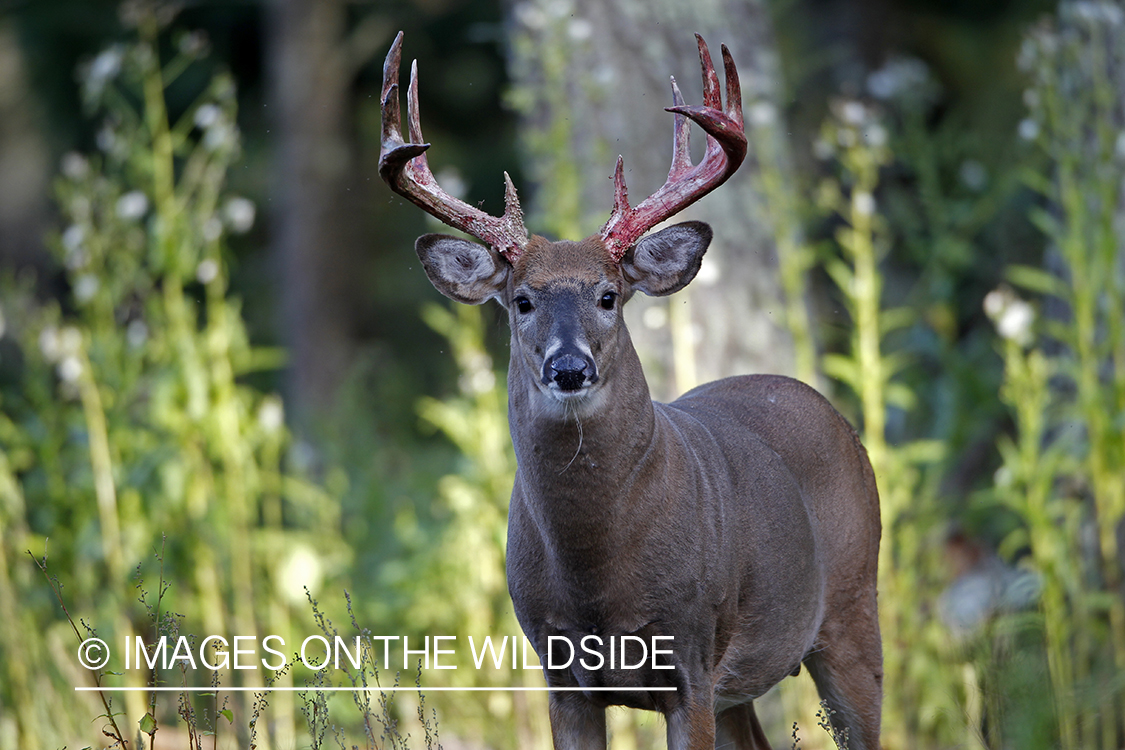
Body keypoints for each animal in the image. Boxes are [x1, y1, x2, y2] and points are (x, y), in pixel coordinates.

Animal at [382, 32, 882, 750]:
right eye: (522, 300)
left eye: (608, 295)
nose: (569, 368)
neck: (598, 577)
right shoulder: (559, 674)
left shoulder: (691, 663)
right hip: (746, 682)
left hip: (851, 608)